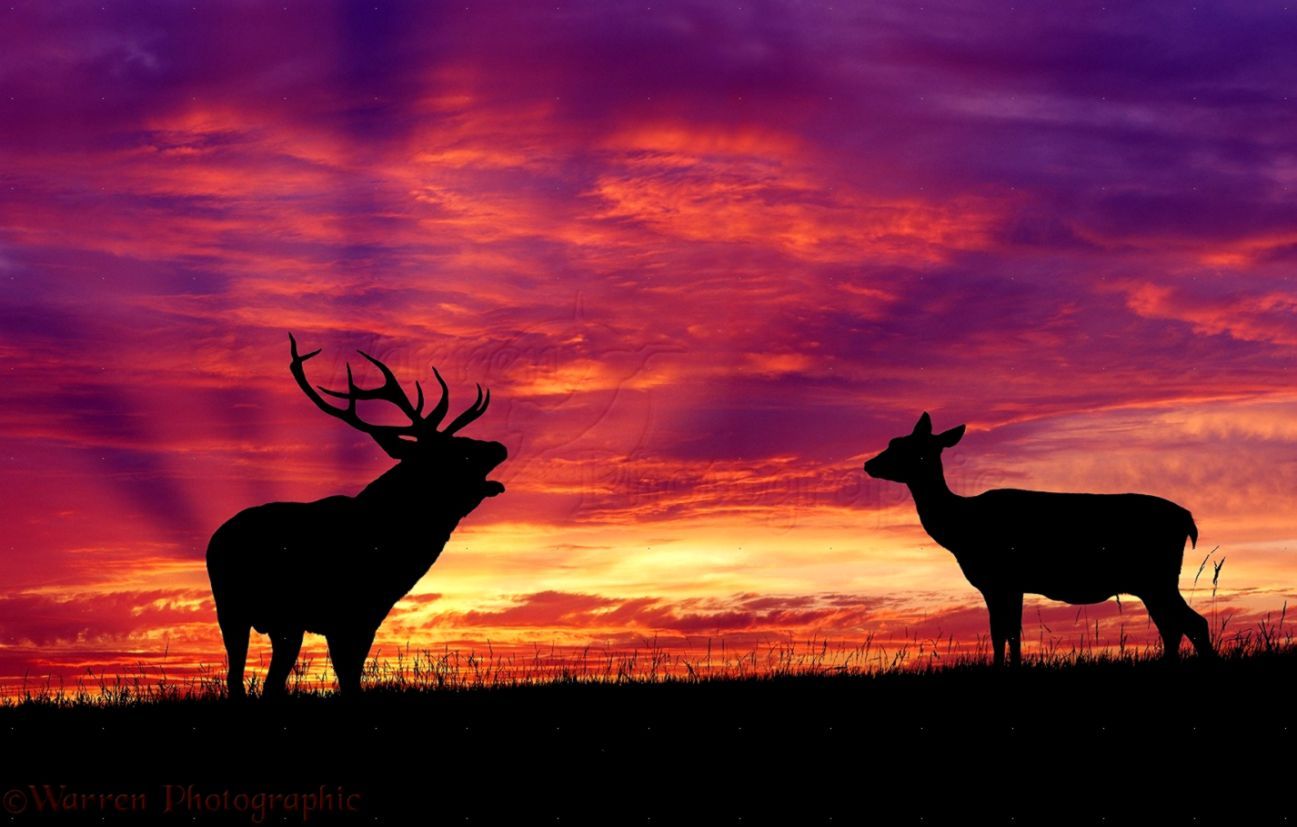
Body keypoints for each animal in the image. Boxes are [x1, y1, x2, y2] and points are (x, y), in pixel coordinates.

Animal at [205, 334, 508, 698]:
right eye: (455, 451)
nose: (498, 446)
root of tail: (214, 540)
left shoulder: (367, 617)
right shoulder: (345, 616)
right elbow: (349, 682)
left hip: (271, 620)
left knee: (265, 683)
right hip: (238, 609)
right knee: (239, 679)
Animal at [863, 412, 1213, 667]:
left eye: (901, 446)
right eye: (893, 441)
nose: (868, 464)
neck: (961, 529)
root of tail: (1188, 521)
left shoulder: (999, 579)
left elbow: (1001, 633)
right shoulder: (1012, 584)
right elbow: (1010, 633)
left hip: (1156, 576)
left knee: (1191, 623)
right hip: (1152, 581)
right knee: (1175, 625)